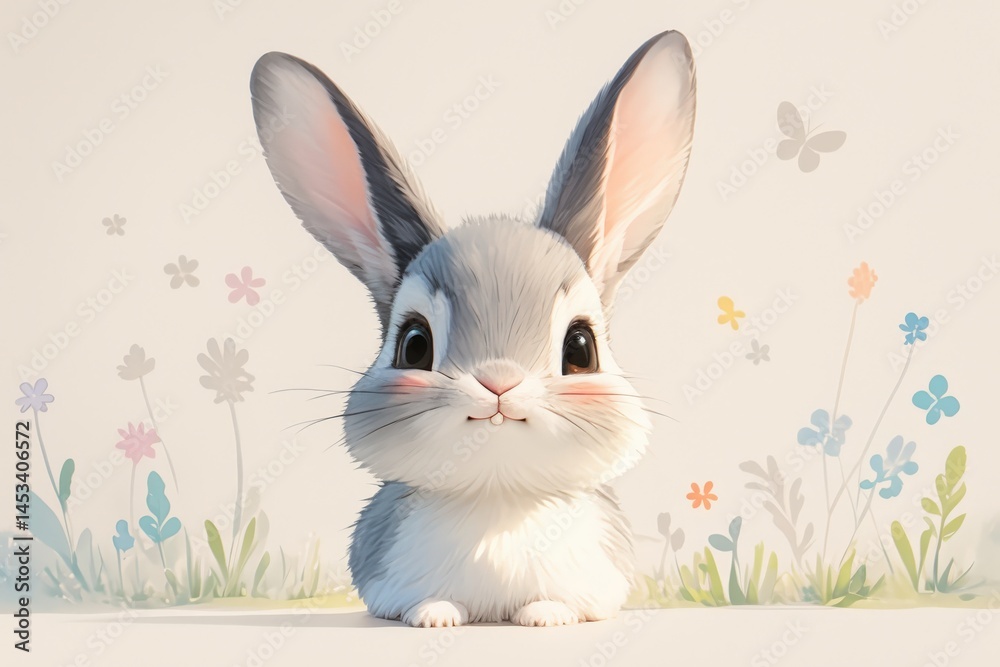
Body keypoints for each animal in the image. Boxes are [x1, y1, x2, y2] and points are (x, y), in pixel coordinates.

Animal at [250, 30, 696, 627]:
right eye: (414, 345)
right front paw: (436, 616)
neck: (497, 494)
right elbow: (422, 601)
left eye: (581, 348)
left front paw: (545, 616)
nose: (498, 382)